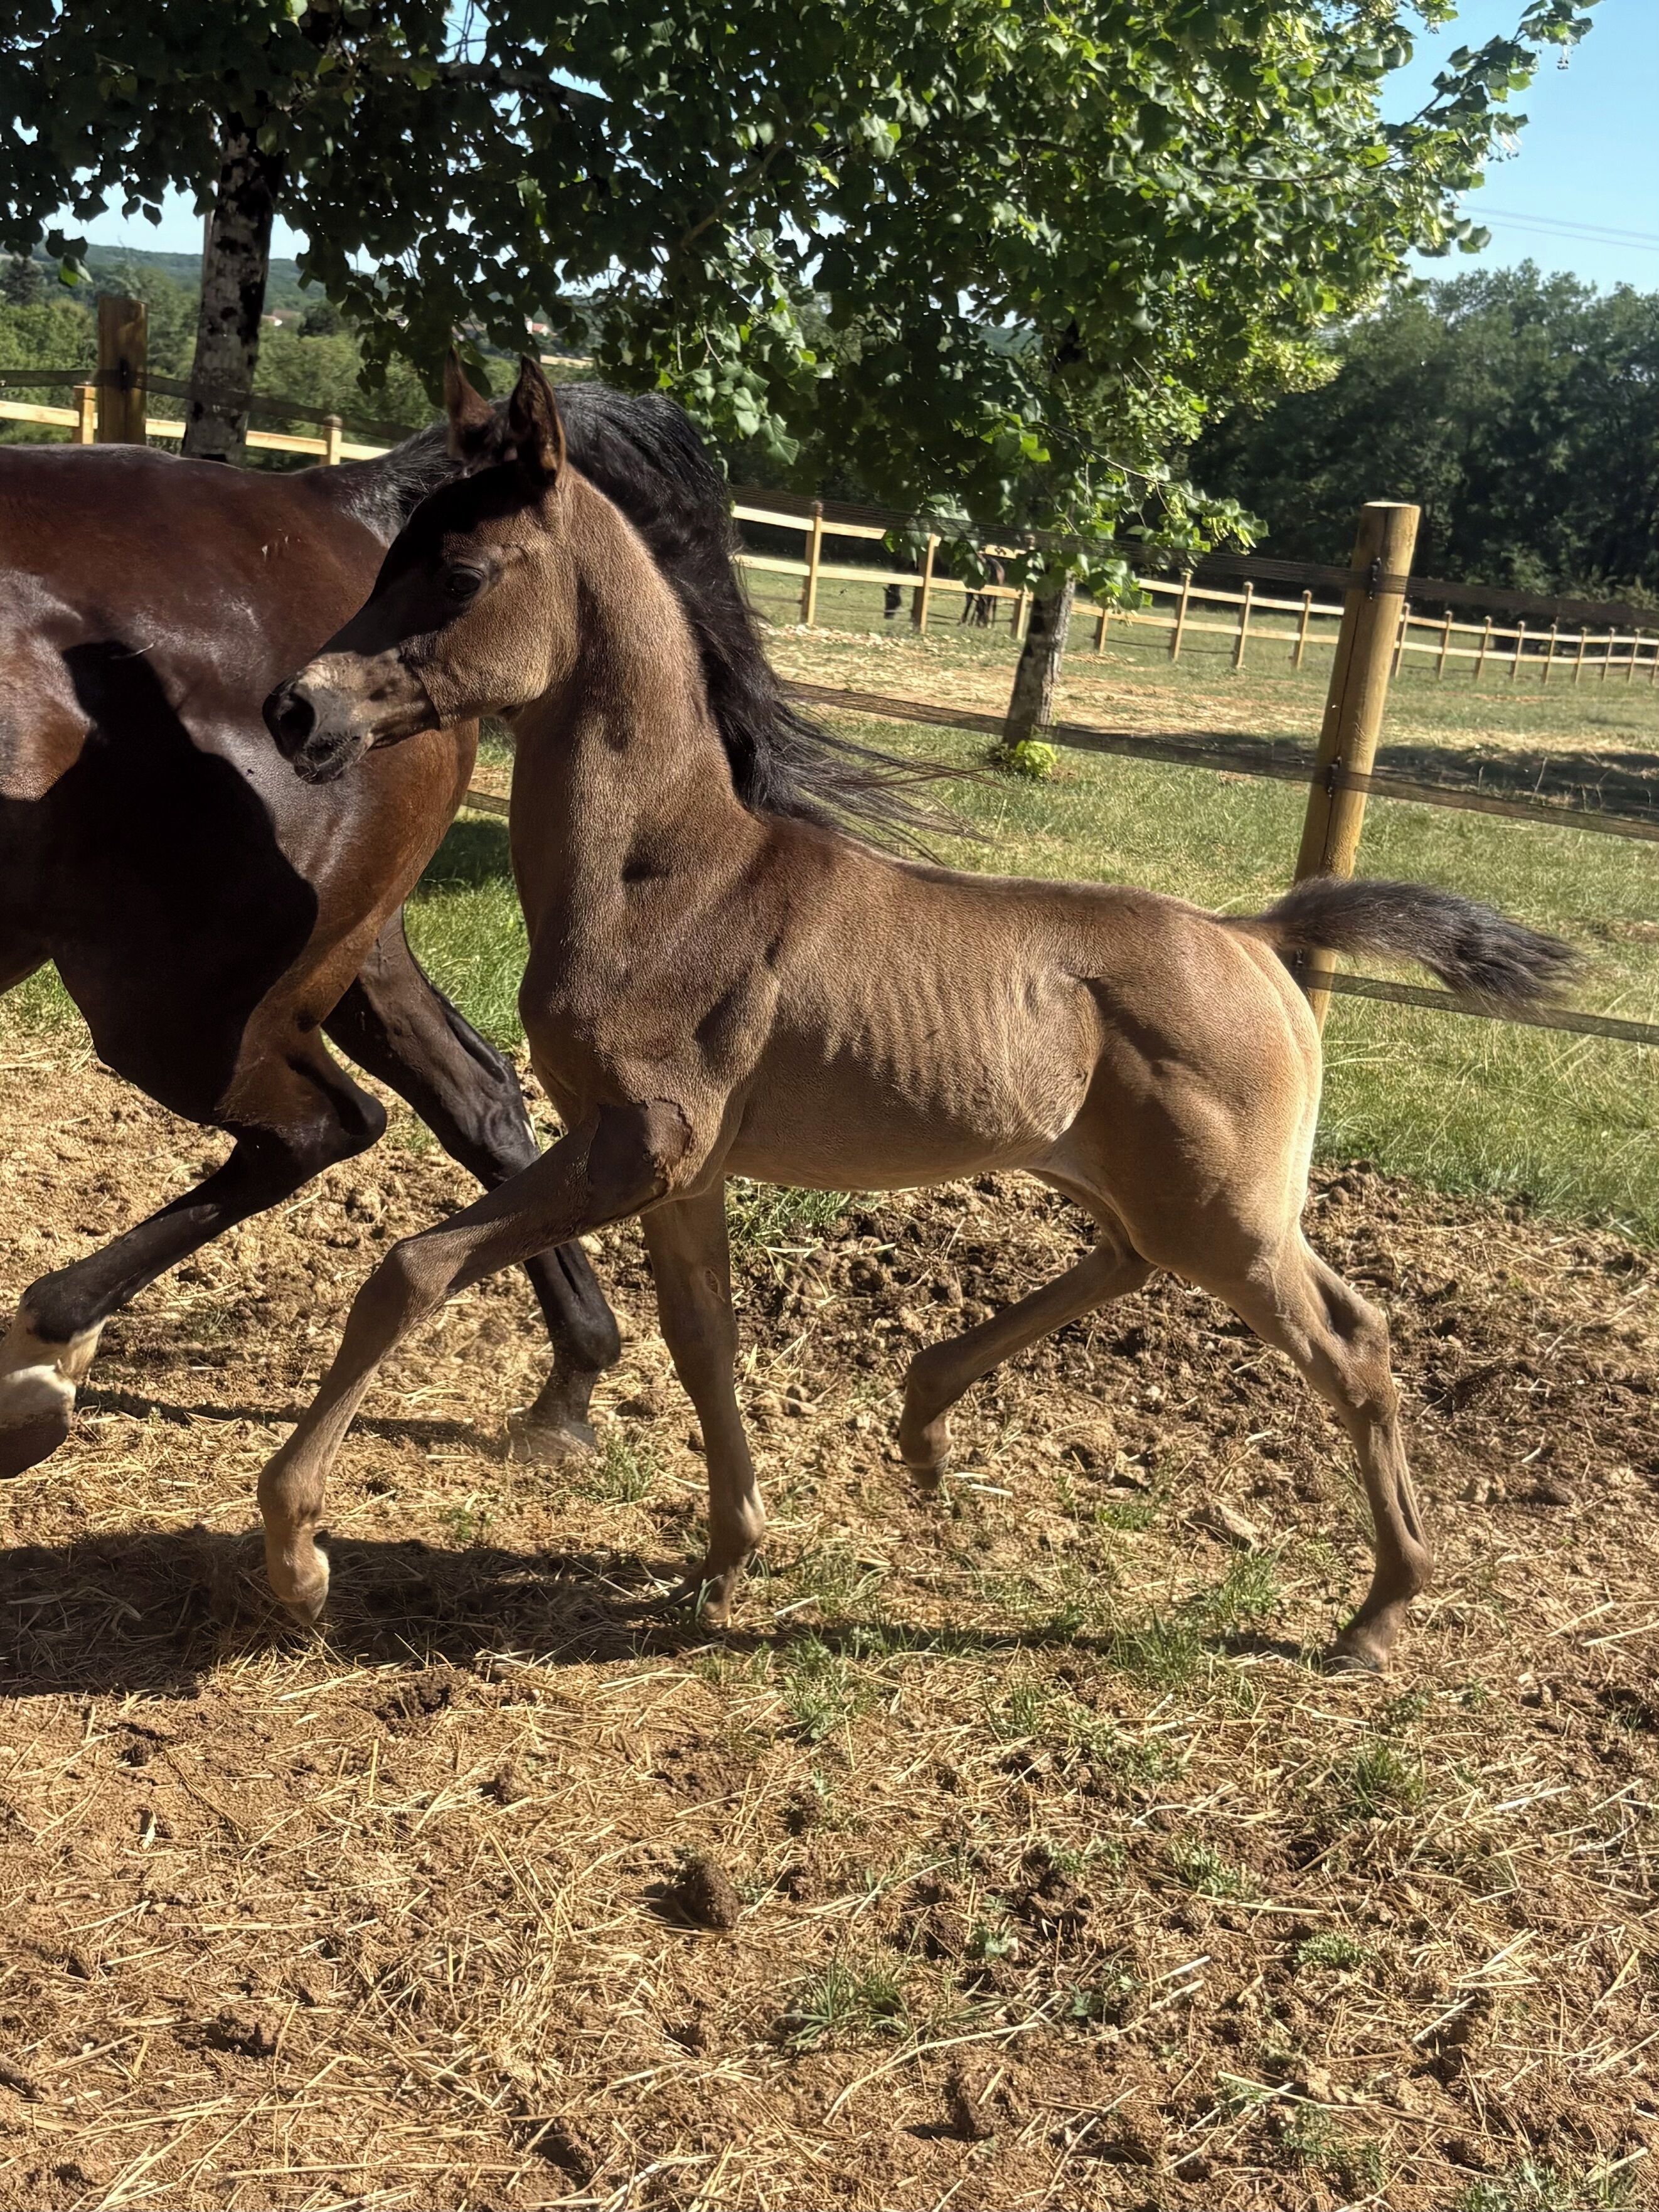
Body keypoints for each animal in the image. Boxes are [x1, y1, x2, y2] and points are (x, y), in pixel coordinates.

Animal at [0, 376, 922, 1479]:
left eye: (459, 576)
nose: (296, 712)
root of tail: (327, 493)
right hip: (333, 961)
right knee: (469, 1096)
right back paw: (572, 1380)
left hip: (176, 999)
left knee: (330, 1125)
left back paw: (40, 1353)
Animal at [255, 356, 1573, 1673]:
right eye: (384, 559)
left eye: (461, 576)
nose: (294, 713)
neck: (668, 880)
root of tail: (1253, 943)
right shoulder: (678, 1172)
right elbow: (702, 1341)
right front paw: (725, 1558)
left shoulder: (640, 1148)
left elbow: (412, 1269)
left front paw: (298, 1554)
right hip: (1125, 1180)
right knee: (1146, 1264)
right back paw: (927, 1411)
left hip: (1227, 1218)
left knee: (1349, 1346)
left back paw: (1378, 1612)